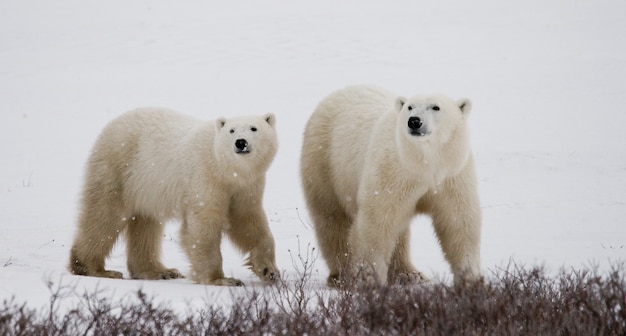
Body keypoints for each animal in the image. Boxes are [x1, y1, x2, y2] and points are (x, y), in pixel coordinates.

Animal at [69, 108, 280, 286]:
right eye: (231, 130)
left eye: (254, 128)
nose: (240, 142)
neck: (226, 170)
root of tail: (111, 125)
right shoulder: (205, 178)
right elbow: (203, 226)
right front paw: (221, 279)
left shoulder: (245, 187)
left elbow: (247, 221)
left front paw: (269, 271)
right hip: (118, 169)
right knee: (105, 216)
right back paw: (96, 269)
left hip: (146, 188)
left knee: (146, 225)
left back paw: (160, 271)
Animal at [300, 85, 480, 288]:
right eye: (410, 107)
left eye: (436, 107)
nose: (414, 121)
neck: (424, 163)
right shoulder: (393, 171)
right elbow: (377, 222)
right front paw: (369, 280)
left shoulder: (452, 174)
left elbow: (458, 221)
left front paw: (470, 279)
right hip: (325, 164)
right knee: (332, 219)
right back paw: (342, 276)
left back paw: (411, 274)